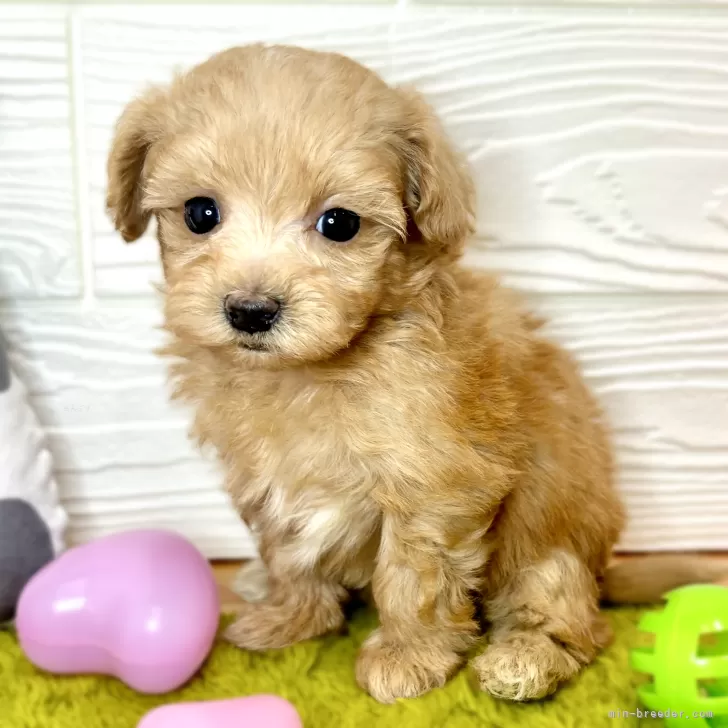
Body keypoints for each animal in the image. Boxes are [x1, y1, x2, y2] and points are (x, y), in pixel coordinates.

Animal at [106, 47, 724, 704]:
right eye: (201, 213)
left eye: (339, 224)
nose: (251, 310)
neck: (318, 368)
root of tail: (603, 568)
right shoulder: (268, 477)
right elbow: (288, 553)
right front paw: (292, 618)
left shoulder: (437, 482)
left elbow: (413, 575)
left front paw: (407, 656)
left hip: (548, 540)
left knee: (571, 618)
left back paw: (526, 659)